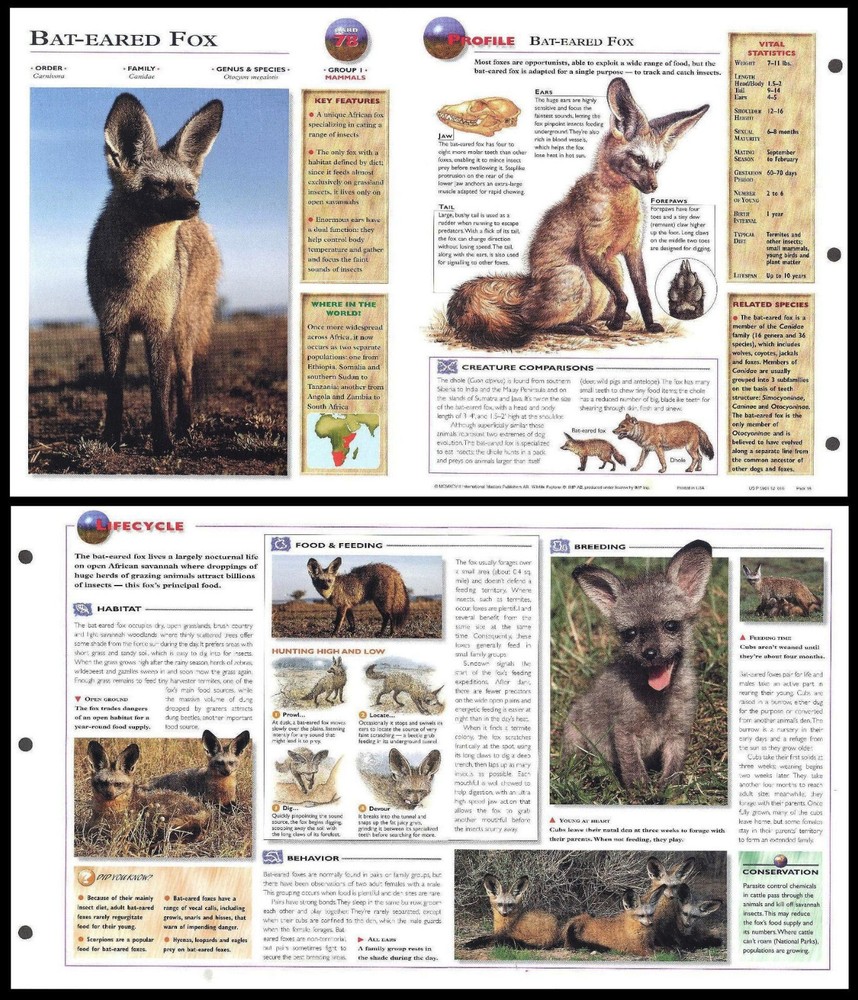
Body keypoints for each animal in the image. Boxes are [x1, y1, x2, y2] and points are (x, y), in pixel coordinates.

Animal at [87, 92, 223, 454]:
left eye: (188, 187)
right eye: (160, 186)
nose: (195, 205)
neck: (137, 277)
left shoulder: (157, 326)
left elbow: (158, 391)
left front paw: (163, 442)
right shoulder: (112, 325)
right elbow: (115, 390)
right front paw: (112, 439)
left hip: (183, 329)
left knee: (183, 379)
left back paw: (184, 427)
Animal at [446, 77, 708, 348]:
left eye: (658, 165)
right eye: (638, 159)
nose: (654, 187)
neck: (620, 207)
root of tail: (529, 284)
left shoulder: (633, 250)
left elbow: (642, 295)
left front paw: (648, 324)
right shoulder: (592, 249)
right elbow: (625, 296)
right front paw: (616, 324)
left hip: (612, 269)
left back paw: (602, 319)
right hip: (576, 276)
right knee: (531, 322)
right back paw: (577, 326)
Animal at [561, 540, 713, 793]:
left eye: (671, 625)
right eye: (630, 633)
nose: (650, 654)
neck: (657, 701)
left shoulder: (679, 731)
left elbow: (674, 767)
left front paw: (667, 791)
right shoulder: (623, 728)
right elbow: (632, 764)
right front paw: (640, 791)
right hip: (575, 733)